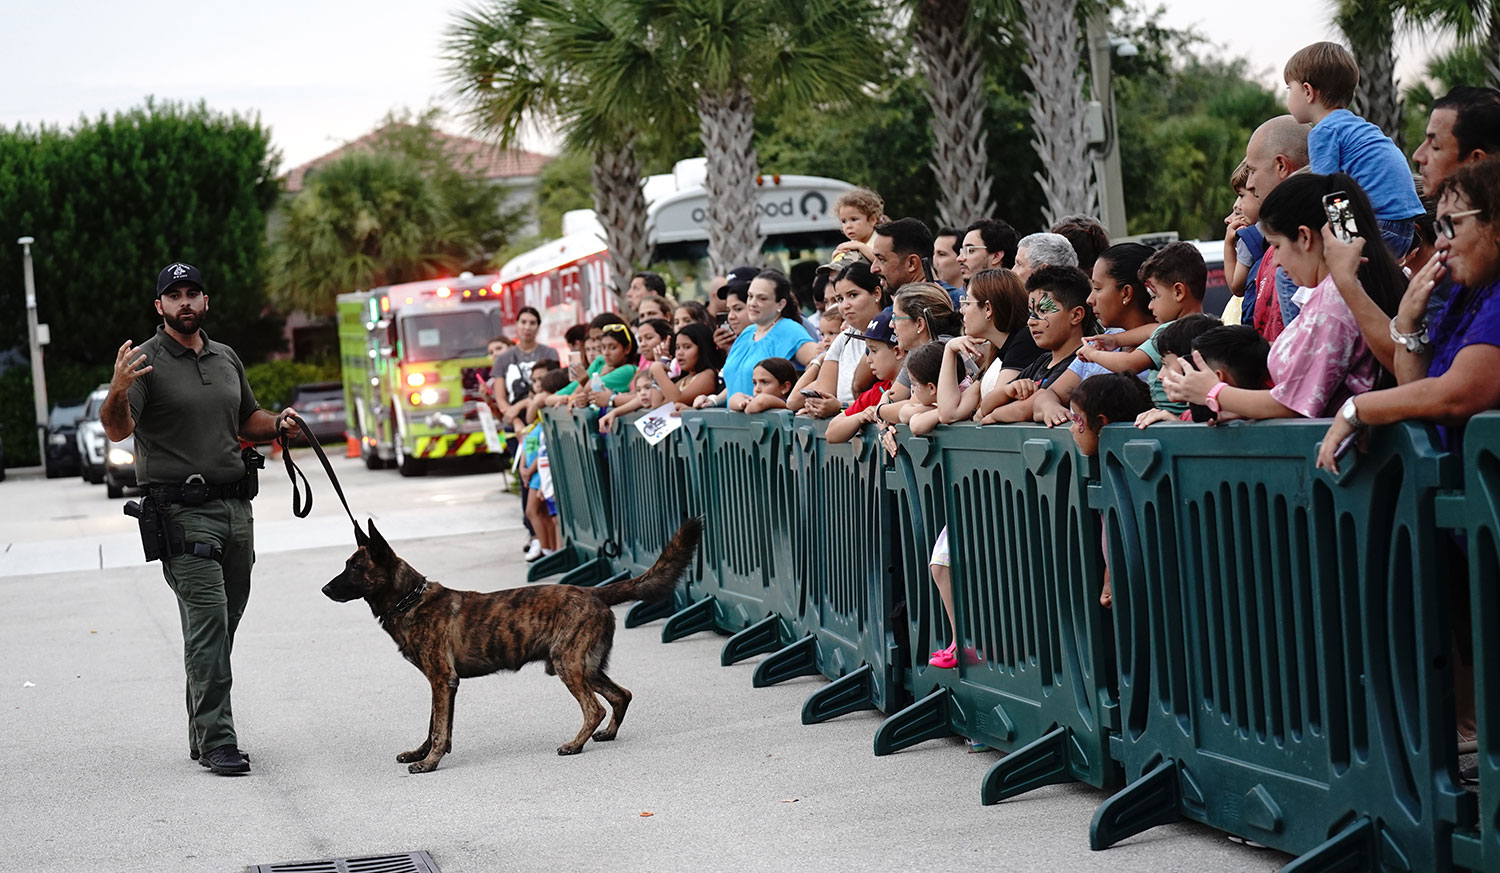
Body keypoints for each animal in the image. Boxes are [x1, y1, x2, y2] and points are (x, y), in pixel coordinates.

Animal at [325, 519, 699, 774]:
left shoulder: (442, 680)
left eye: (354, 568)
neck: (410, 600)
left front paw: (429, 762)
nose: (325, 589)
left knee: (595, 708)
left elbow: (439, 728)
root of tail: (593, 591)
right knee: (621, 695)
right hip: (586, 666)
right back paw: (607, 734)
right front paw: (421, 753)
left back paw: (575, 745)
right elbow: (433, 725)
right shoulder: (439, 683)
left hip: (567, 664)